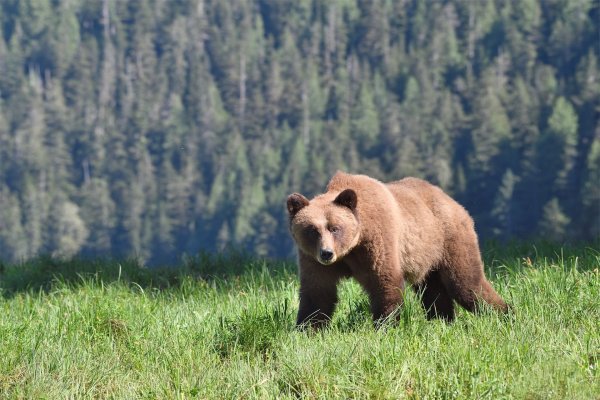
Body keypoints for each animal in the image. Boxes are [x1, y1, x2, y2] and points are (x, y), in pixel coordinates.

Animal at [286, 171, 506, 328]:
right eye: (312, 230)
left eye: (335, 228)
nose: (326, 253)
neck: (351, 249)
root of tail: (453, 202)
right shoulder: (312, 259)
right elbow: (318, 292)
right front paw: (308, 328)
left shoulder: (378, 240)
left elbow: (385, 281)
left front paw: (385, 325)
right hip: (426, 258)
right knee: (434, 291)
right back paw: (442, 321)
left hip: (449, 240)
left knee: (466, 284)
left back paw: (505, 314)